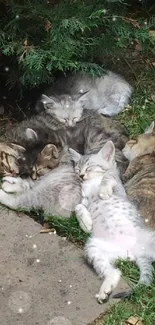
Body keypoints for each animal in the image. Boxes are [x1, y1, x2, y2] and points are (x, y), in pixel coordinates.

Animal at [69, 142, 155, 304]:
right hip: (93, 247)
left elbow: (108, 177)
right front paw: (86, 223)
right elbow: (78, 206)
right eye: (78, 168)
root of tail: (137, 252)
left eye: (89, 167)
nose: (81, 175)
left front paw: (103, 190)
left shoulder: (119, 185)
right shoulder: (83, 200)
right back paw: (105, 289)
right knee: (114, 271)